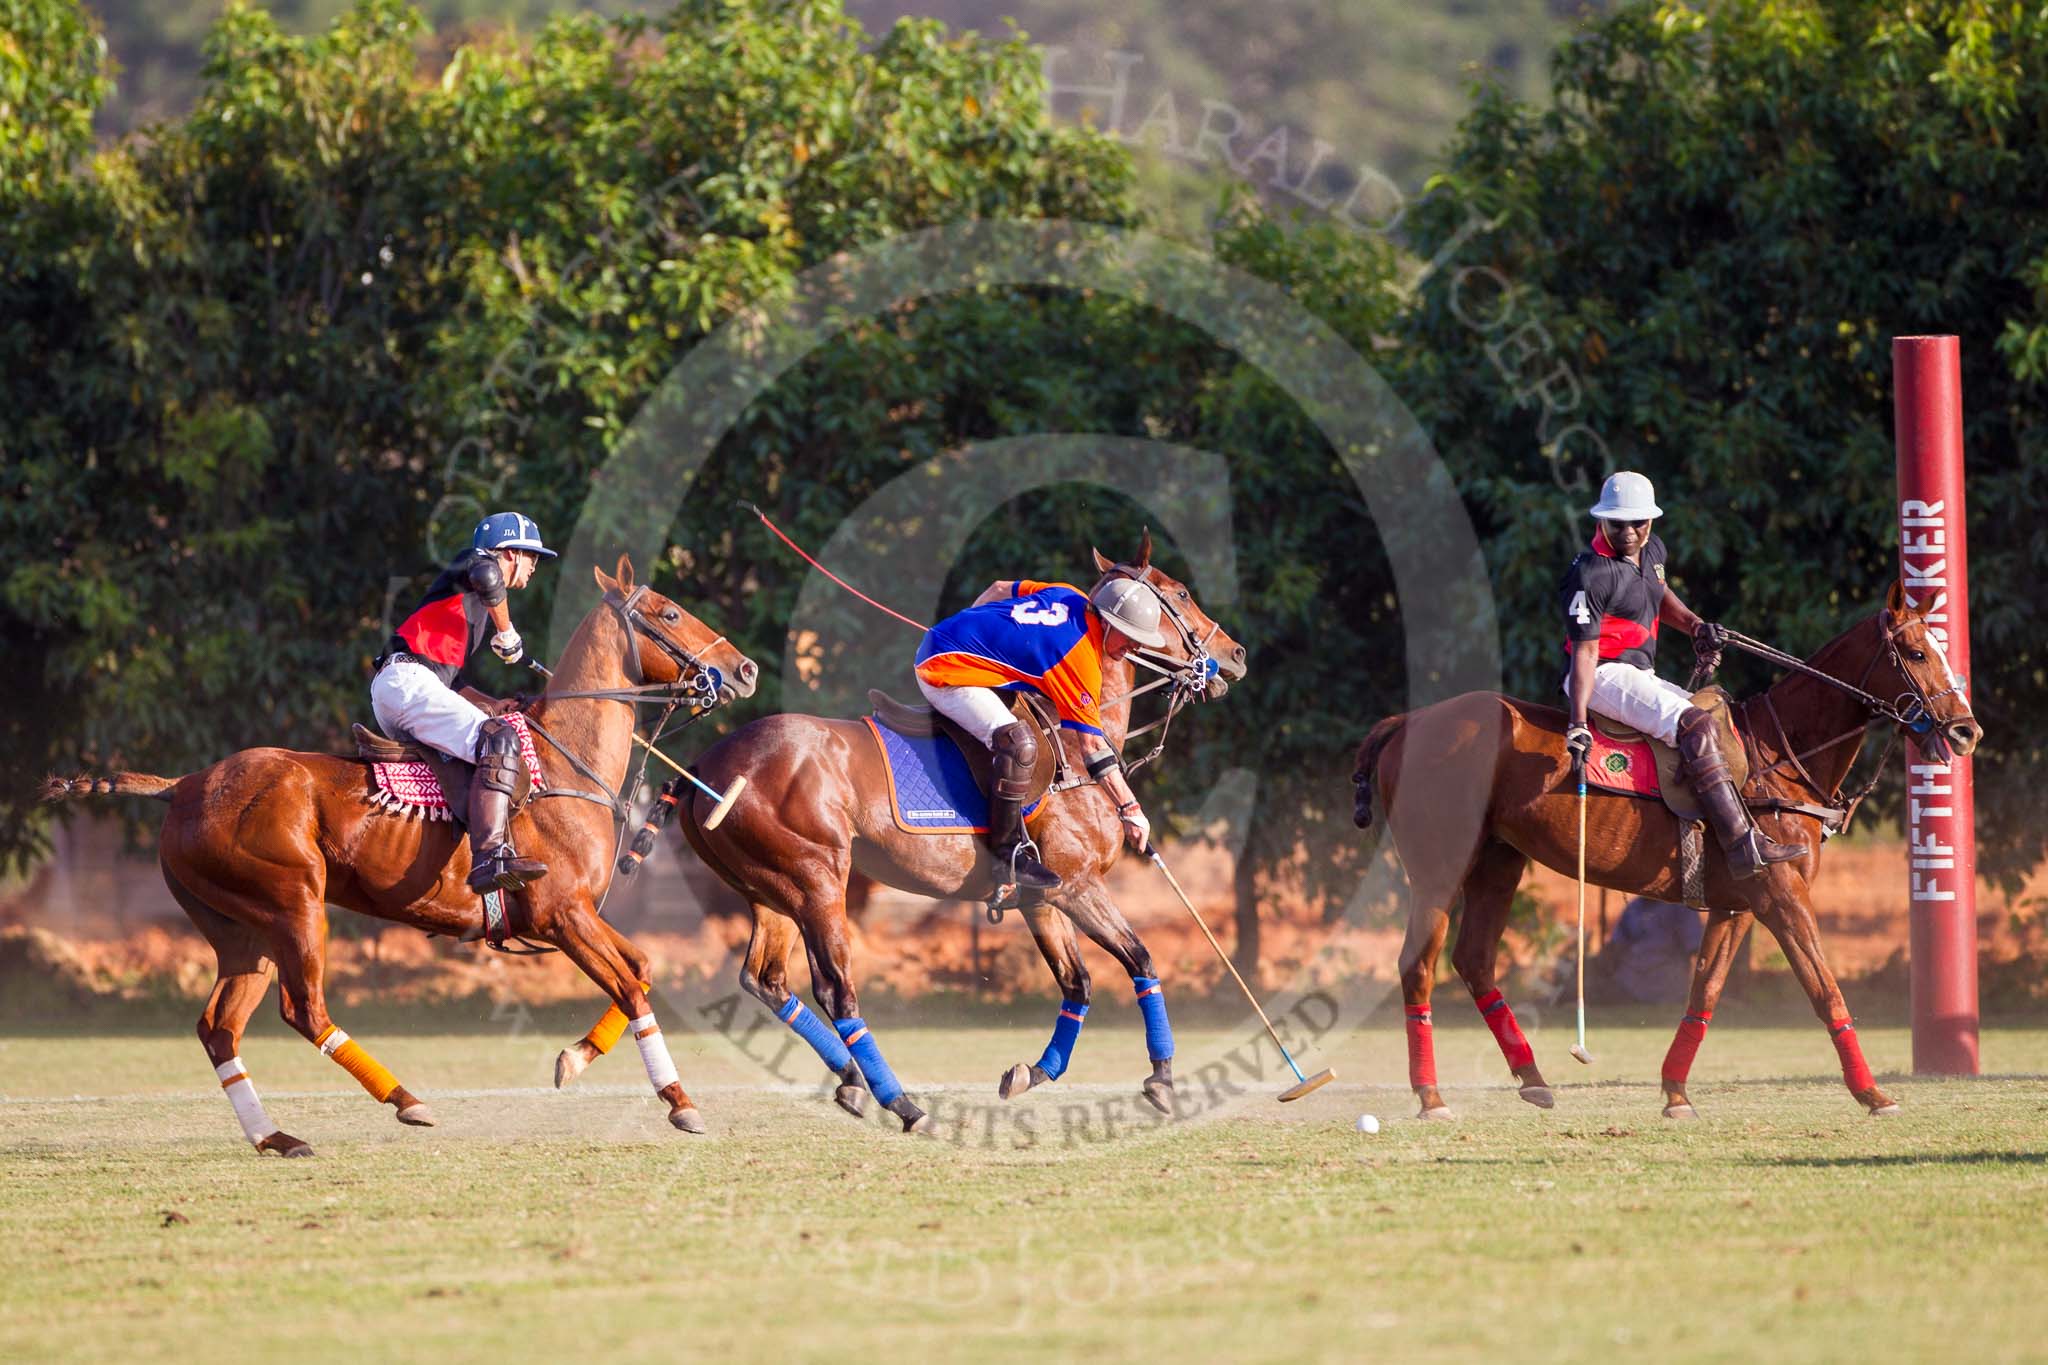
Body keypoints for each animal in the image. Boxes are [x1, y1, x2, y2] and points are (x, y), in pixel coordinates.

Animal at [44, 556, 757, 1154]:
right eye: (668, 612)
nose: (744, 670)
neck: (564, 761)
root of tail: (185, 784)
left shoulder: (577, 912)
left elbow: (641, 967)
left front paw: (575, 1058)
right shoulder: (561, 914)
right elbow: (632, 986)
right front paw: (680, 1103)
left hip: (241, 931)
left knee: (220, 1026)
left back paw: (276, 1138)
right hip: (294, 905)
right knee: (303, 1010)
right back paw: (405, 1100)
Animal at [552, 540, 1245, 1137]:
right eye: (1180, 594)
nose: (1235, 656)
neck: (1075, 750)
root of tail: (705, 766)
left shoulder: (1039, 901)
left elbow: (1079, 984)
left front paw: (1032, 1073)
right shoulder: (1073, 886)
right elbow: (1140, 960)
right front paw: (1161, 1079)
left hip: (769, 887)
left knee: (766, 979)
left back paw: (852, 1081)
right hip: (817, 877)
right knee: (836, 988)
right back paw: (900, 1102)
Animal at [1351, 585, 1974, 1121]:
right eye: (1917, 652)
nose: (1967, 732)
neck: (1783, 756)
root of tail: (1406, 721)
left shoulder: (1738, 904)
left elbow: (1706, 990)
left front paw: (1675, 1093)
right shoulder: (1782, 894)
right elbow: (1825, 990)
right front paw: (1873, 1094)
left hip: (1499, 860)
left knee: (1475, 960)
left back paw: (1533, 1078)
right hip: (1437, 869)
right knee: (1417, 967)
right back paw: (1431, 1097)